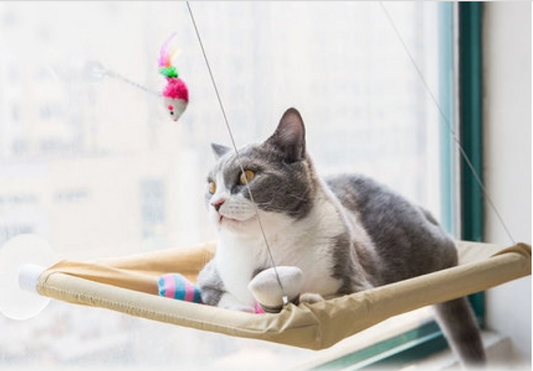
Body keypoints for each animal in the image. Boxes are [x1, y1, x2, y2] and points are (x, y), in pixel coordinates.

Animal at [196, 108, 486, 370]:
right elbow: (216, 296)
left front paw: (309, 300)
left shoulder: (358, 282)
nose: (215, 203)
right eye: (211, 186)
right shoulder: (210, 276)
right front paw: (243, 309)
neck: (268, 245)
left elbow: (334, 299)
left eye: (247, 176)